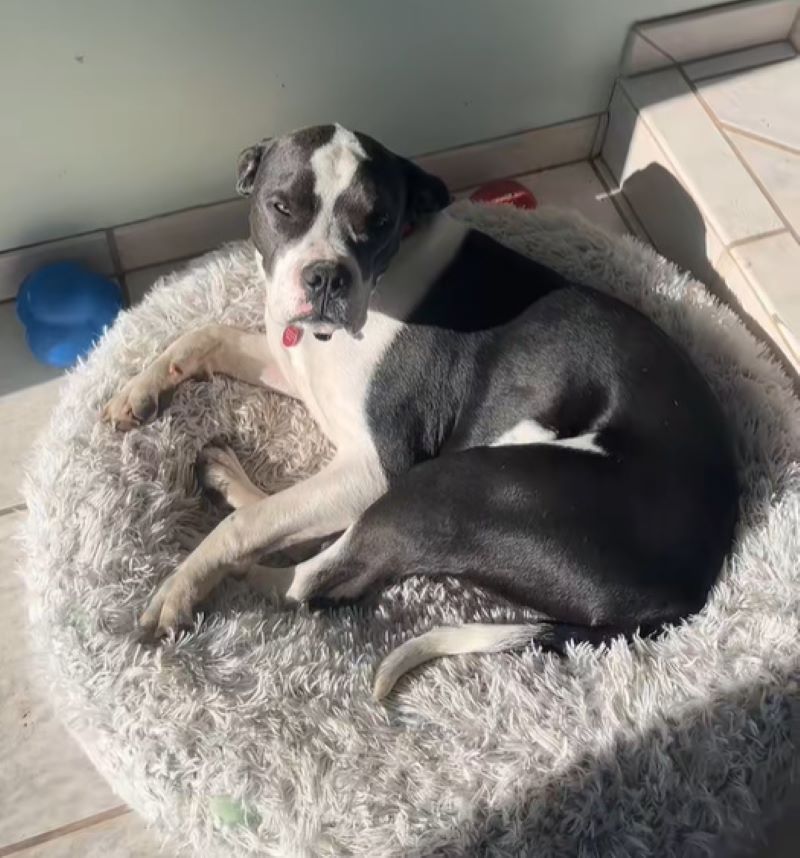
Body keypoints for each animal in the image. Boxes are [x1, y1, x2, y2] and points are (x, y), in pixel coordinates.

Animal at [103, 123, 740, 696]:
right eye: (282, 207)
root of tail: (690, 589)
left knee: (319, 581)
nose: (327, 276)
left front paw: (182, 584)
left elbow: (248, 528)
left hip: (456, 485)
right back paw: (226, 477)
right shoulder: (296, 366)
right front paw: (138, 392)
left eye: (377, 221)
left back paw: (233, 579)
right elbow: (206, 337)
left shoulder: (376, 468)